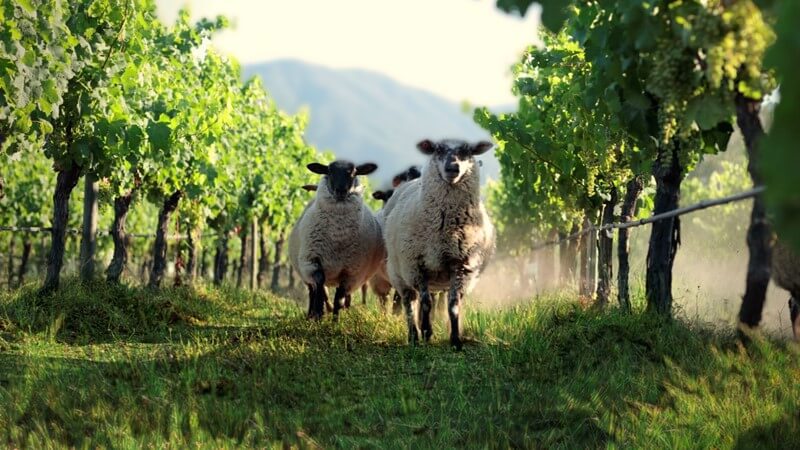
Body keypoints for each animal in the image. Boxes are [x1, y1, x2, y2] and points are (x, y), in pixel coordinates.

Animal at [290, 160, 386, 318]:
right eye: (329, 171)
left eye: (353, 172)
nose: (341, 190)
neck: (337, 235)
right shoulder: (313, 262)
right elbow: (320, 286)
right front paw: (318, 314)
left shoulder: (350, 272)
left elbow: (339, 299)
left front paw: (336, 320)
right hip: (306, 271)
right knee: (313, 290)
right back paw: (311, 315)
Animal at [384, 139, 496, 350]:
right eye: (438, 149)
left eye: (467, 151)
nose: (453, 167)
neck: (446, 230)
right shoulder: (417, 264)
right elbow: (426, 302)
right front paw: (427, 332)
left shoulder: (460, 266)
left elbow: (453, 305)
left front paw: (455, 340)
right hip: (399, 272)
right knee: (409, 302)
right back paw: (414, 335)